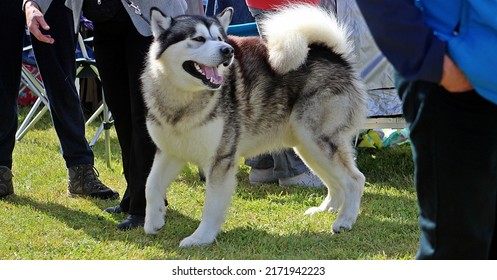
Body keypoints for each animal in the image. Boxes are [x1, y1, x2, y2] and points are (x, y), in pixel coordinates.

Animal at [141, 4, 366, 247]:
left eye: (219, 38)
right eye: (198, 38)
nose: (228, 50)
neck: (183, 101)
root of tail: (334, 55)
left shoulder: (221, 160)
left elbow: (211, 206)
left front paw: (201, 238)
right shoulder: (169, 152)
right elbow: (150, 185)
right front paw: (153, 221)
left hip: (316, 142)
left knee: (355, 180)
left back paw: (344, 220)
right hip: (307, 146)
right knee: (335, 182)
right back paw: (326, 209)